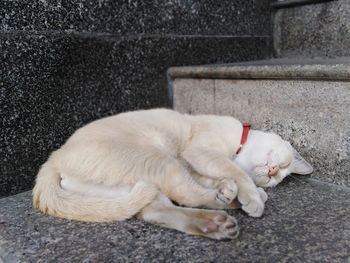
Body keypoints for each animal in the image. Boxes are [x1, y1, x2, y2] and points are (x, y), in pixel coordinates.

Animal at [32, 108, 312, 240]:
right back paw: (233, 204)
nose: (272, 172)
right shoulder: (200, 152)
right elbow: (234, 173)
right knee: (185, 194)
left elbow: (216, 178)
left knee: (157, 210)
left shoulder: (198, 164)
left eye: (278, 175)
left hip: (137, 184)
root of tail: (54, 157)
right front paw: (250, 195)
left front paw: (238, 191)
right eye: (283, 165)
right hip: (157, 160)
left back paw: (218, 221)